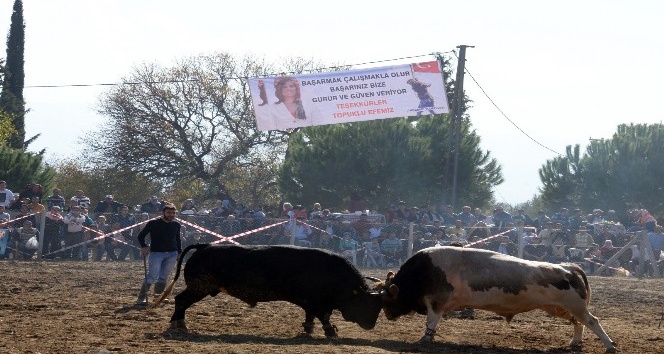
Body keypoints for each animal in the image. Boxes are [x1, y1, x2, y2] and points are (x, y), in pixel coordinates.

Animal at [150, 243, 378, 338]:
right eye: (365, 304)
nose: (371, 325)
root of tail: (205, 246)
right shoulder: (318, 303)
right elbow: (324, 317)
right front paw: (330, 332)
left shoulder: (310, 303)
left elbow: (311, 317)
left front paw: (308, 329)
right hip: (199, 287)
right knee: (180, 300)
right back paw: (179, 324)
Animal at [374, 246, 616, 352]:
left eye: (388, 301)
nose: (388, 315)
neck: (423, 271)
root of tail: (568, 267)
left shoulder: (436, 302)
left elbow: (431, 322)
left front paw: (425, 339)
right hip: (562, 307)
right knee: (579, 323)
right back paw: (575, 342)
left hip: (574, 305)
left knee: (592, 321)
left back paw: (609, 345)